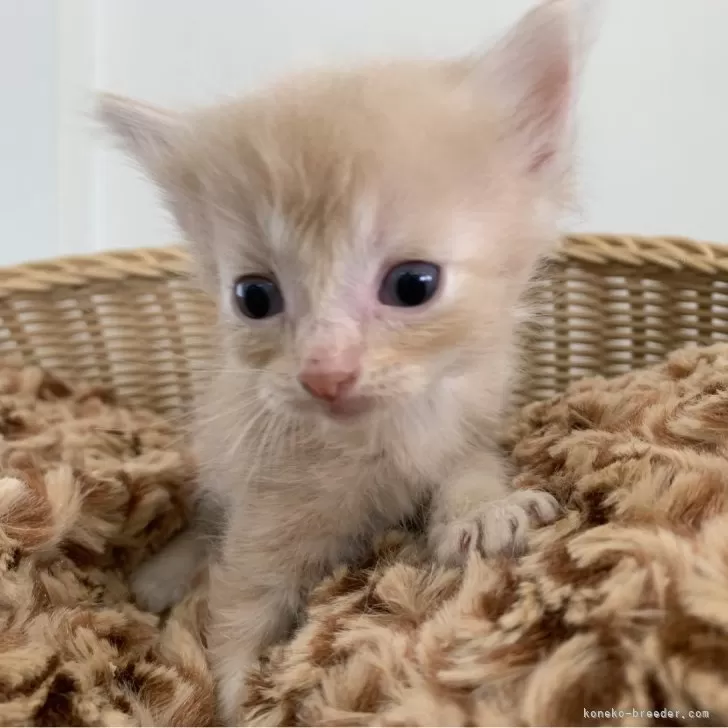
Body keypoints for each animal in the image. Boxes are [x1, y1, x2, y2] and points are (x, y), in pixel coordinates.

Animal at [99, 0, 596, 724]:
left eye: (413, 284)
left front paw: (481, 514)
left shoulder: (465, 419)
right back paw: (165, 572)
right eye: (253, 296)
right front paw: (239, 697)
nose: (323, 373)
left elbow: (468, 464)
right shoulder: (266, 496)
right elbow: (240, 597)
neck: (383, 436)